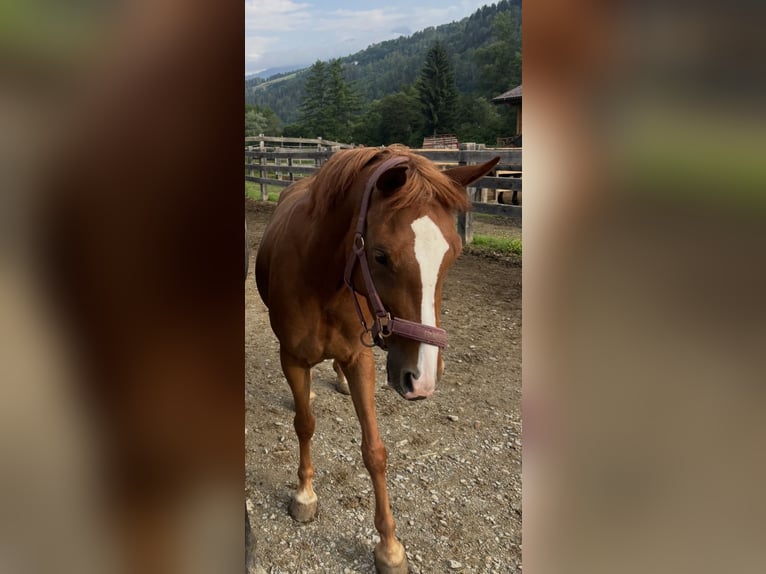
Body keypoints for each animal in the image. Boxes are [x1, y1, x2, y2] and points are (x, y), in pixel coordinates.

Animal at [255, 145, 498, 573]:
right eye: (381, 256)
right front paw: (304, 495)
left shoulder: (361, 360)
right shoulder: (293, 359)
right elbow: (305, 424)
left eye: (453, 254)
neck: (323, 280)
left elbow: (375, 451)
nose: (422, 378)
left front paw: (389, 547)